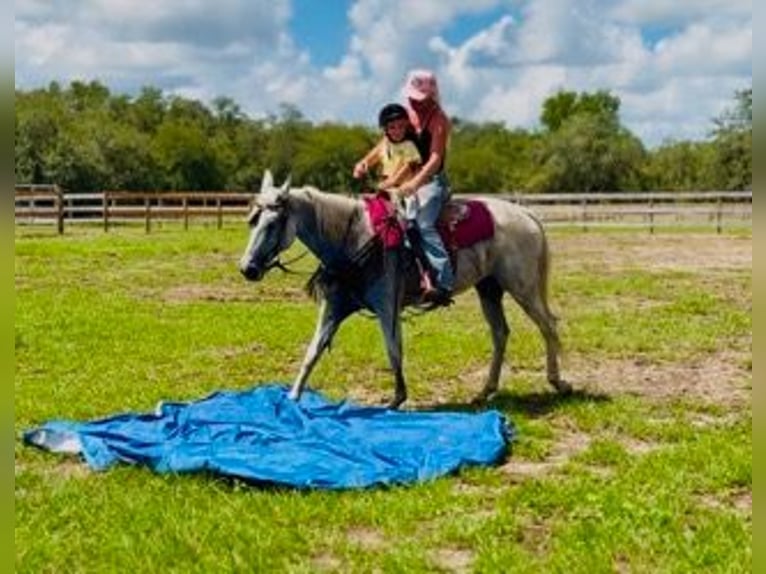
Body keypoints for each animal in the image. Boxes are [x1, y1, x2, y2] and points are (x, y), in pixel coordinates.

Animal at [239, 170, 571, 409]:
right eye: (253, 221)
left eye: (273, 223)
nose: (247, 268)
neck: (356, 238)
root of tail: (526, 215)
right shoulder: (335, 306)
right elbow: (313, 350)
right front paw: (292, 397)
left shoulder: (388, 305)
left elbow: (393, 349)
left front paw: (397, 399)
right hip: (489, 289)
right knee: (500, 333)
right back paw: (485, 390)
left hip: (523, 287)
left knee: (547, 326)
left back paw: (557, 382)